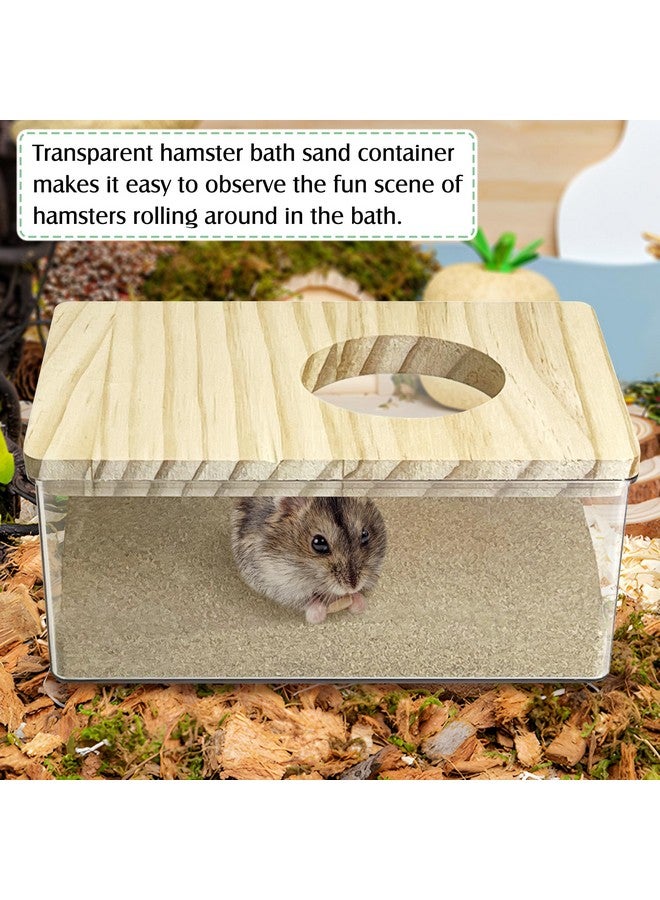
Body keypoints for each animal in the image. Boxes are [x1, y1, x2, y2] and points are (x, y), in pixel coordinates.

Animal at [230, 496, 387, 624]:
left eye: (365, 535)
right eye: (318, 543)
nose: (353, 587)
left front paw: (358, 604)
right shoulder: (277, 582)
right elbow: (307, 600)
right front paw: (317, 615)